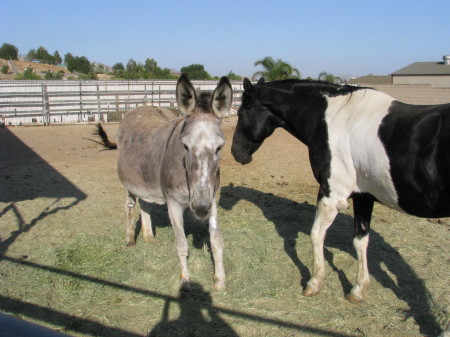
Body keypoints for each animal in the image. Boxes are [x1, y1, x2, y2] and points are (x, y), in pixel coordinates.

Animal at [232, 78, 450, 302]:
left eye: (240, 113)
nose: (236, 152)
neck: (332, 117)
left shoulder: (331, 195)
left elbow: (316, 235)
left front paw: (314, 282)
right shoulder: (363, 197)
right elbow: (360, 241)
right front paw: (358, 290)